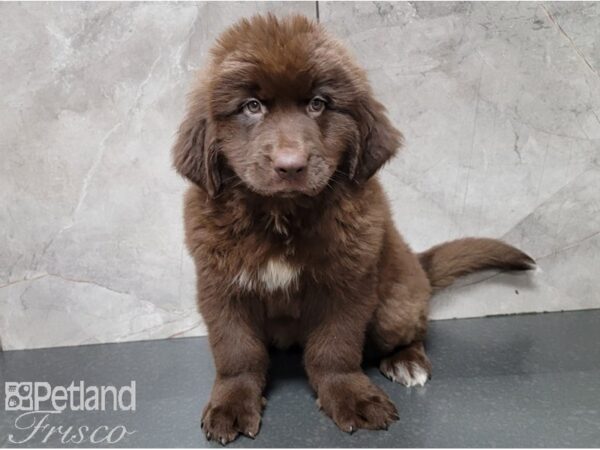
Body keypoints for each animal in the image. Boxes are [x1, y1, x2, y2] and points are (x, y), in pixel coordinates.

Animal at [172, 14, 536, 442]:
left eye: (317, 104)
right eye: (252, 106)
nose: (290, 166)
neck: (282, 217)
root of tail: (419, 265)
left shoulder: (347, 283)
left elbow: (335, 348)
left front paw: (351, 396)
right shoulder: (222, 285)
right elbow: (237, 351)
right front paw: (231, 404)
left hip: (394, 304)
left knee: (415, 330)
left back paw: (407, 361)